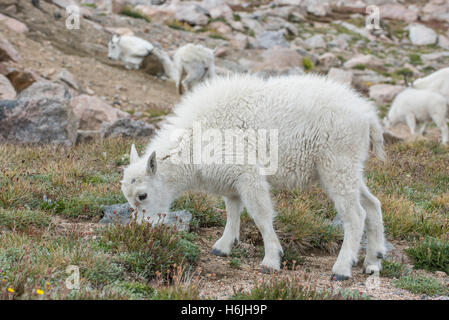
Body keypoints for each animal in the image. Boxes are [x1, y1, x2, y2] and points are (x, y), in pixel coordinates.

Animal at [121, 73, 386, 280]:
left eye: (142, 195)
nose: (143, 230)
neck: (194, 141)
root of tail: (369, 118)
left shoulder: (248, 175)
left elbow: (261, 216)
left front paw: (271, 260)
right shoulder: (230, 181)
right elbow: (232, 211)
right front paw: (223, 247)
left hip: (337, 163)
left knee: (355, 215)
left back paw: (342, 269)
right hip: (347, 168)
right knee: (372, 204)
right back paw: (373, 261)